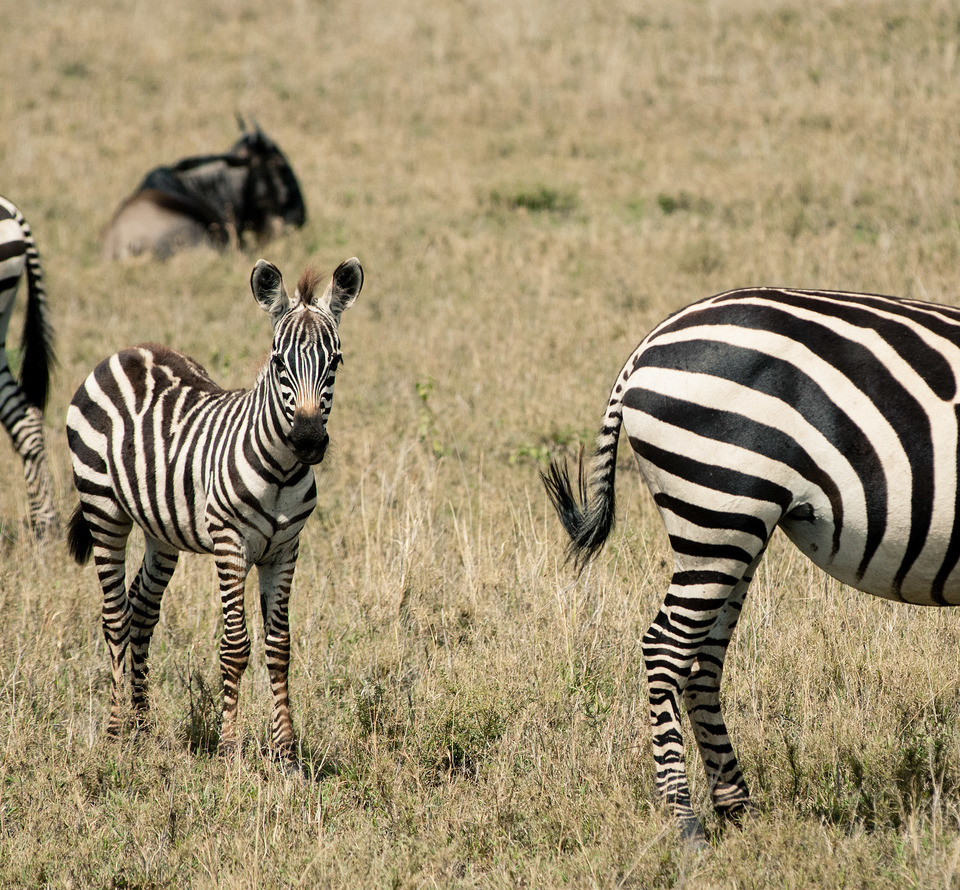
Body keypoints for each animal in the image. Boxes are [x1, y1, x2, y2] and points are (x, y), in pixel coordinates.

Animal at [66, 257, 362, 762]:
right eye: (278, 361)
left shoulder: (286, 549)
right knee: (114, 617)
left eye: (335, 362)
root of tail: (127, 351)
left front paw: (286, 752)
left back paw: (142, 726)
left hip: (161, 529)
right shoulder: (230, 545)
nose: (307, 440)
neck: (282, 470)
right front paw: (229, 748)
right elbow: (236, 646)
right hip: (103, 508)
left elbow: (279, 647)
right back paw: (115, 733)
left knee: (141, 610)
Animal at [542, 285, 960, 842]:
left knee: (702, 660)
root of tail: (647, 345)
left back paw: (735, 807)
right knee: (666, 648)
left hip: (735, 527)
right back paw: (685, 822)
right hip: (720, 508)